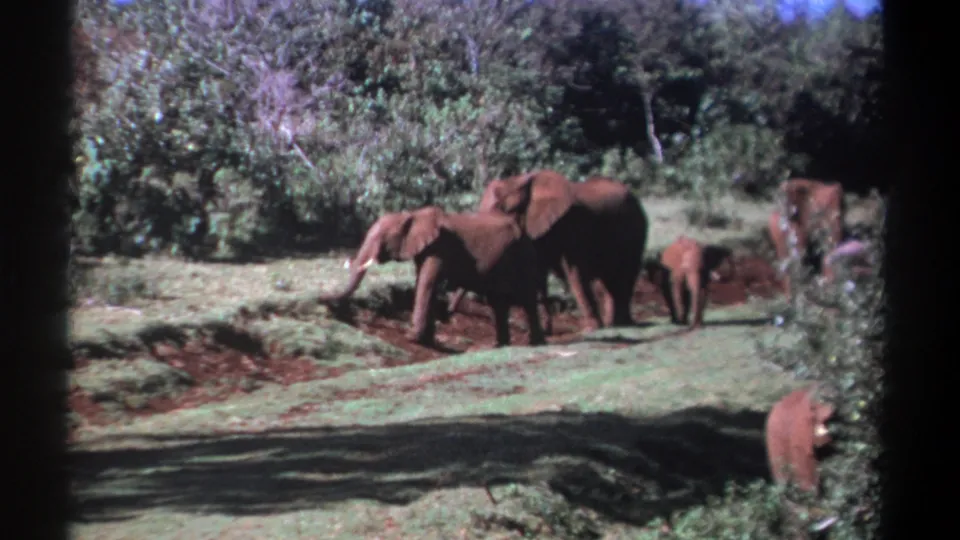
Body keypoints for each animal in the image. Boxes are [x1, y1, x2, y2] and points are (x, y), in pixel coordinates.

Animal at [318, 206, 546, 348]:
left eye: (382, 239)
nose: (321, 298)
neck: (413, 215)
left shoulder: (439, 247)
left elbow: (427, 283)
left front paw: (412, 338)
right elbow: (424, 282)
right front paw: (426, 339)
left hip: (523, 253)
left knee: (526, 297)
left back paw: (535, 344)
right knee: (498, 301)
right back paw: (499, 345)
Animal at [448, 170, 649, 334]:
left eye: (507, 210)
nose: (449, 314)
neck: (525, 180)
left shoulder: (571, 224)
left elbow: (574, 273)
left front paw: (590, 329)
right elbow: (537, 272)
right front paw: (545, 330)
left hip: (636, 228)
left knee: (626, 273)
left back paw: (621, 323)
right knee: (607, 280)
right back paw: (613, 324)